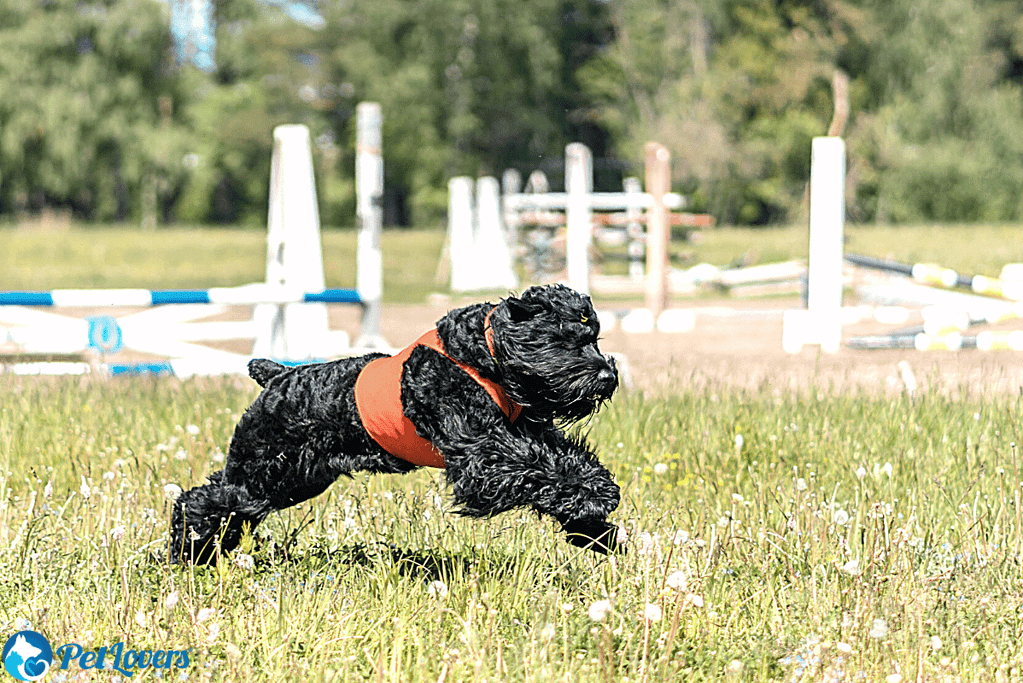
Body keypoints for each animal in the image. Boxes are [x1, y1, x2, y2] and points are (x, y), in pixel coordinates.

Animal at [169, 284, 621, 564]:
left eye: (594, 336)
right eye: (564, 338)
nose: (607, 376)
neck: (481, 357)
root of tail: (278, 376)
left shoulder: (526, 433)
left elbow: (565, 459)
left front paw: (595, 526)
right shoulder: (481, 455)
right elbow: (539, 469)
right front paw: (597, 500)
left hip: (292, 480)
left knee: (226, 503)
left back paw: (207, 552)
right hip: (264, 472)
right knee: (199, 500)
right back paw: (186, 553)